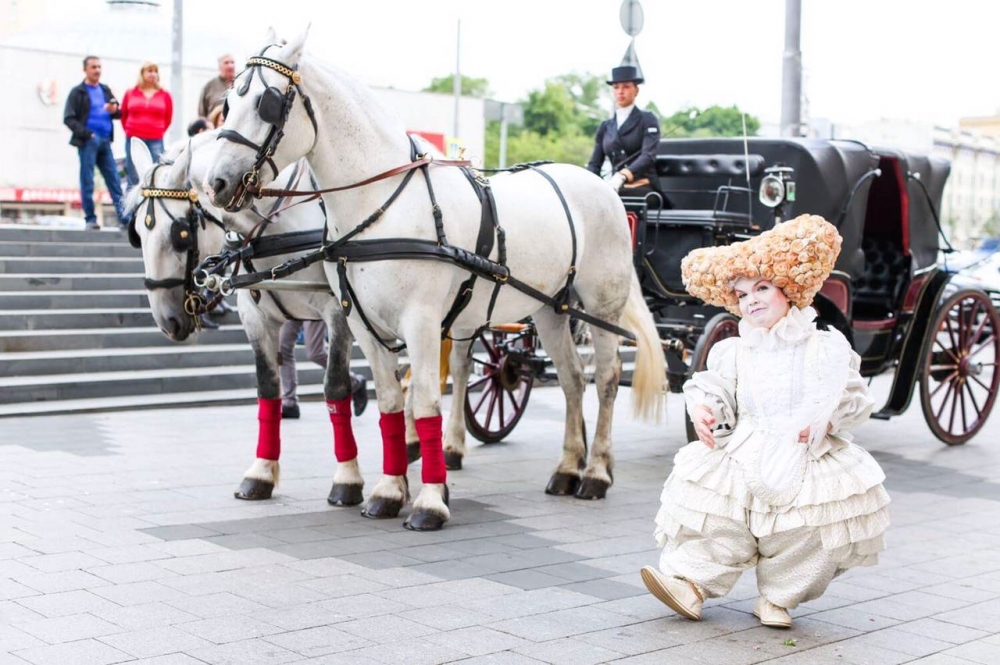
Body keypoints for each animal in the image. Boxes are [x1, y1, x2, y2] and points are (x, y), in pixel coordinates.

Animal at [125, 134, 372, 508]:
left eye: (181, 235)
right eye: (136, 234)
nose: (168, 322)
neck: (279, 225)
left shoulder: (340, 314)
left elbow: (335, 387)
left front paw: (347, 479)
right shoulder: (255, 317)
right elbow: (268, 387)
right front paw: (260, 473)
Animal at [205, 29, 664, 528]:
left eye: (268, 103)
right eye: (229, 101)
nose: (216, 183)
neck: (382, 203)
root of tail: (602, 185)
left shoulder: (420, 323)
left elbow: (424, 400)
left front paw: (428, 501)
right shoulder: (363, 324)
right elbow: (390, 401)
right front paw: (388, 489)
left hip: (602, 308)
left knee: (606, 379)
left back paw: (596, 472)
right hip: (550, 309)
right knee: (571, 380)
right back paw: (566, 468)